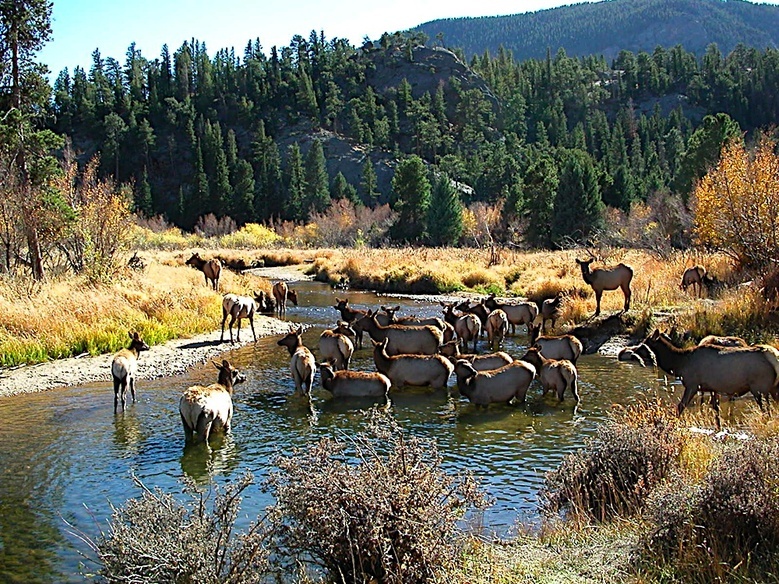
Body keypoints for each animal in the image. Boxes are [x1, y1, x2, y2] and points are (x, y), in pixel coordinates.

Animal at [644, 328, 779, 424]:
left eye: (646, 340)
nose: (639, 346)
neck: (680, 364)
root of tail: (773, 355)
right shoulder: (712, 389)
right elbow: (716, 410)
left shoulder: (692, 385)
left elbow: (680, 407)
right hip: (773, 388)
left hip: (759, 388)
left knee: (766, 411)